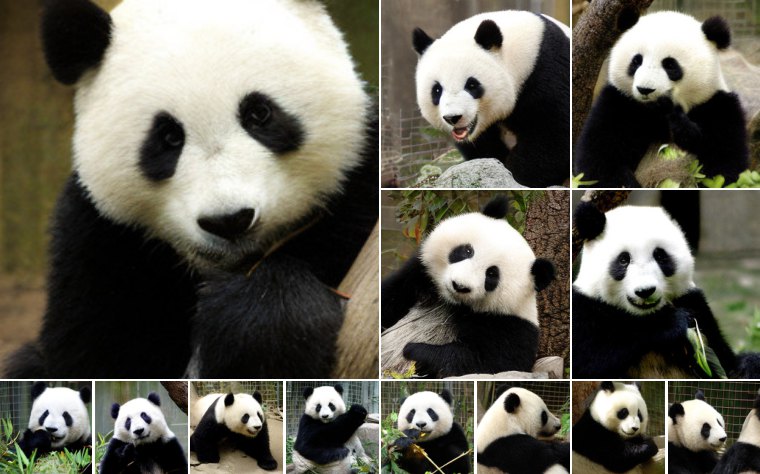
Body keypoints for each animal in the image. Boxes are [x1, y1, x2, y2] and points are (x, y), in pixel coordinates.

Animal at [4, 0, 377, 378]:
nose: (229, 221)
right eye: (168, 137)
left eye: (259, 114)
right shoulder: (99, 247)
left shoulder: (359, 189)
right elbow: (91, 358)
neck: (237, 264)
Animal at [381, 195, 555, 378]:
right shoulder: (417, 276)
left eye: (491, 274)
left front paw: (413, 350)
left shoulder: (512, 327)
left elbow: (483, 362)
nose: (459, 285)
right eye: (467, 251)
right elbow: (390, 299)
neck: (452, 304)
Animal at [413, 10, 570, 187]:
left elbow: (552, 135)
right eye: (437, 90)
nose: (453, 117)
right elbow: (483, 147)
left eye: (471, 85)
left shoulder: (547, 70)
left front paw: (516, 176)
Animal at [572, 202, 760, 379]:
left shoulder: (696, 306)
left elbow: (725, 359)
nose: (645, 291)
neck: (643, 316)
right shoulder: (585, 309)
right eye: (623, 260)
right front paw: (672, 322)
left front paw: (748, 367)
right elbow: (590, 359)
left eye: (660, 255)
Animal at [574, 11, 748, 187]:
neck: (654, 112)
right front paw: (623, 180)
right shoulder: (618, 101)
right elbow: (596, 155)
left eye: (670, 65)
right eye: (636, 61)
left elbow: (725, 162)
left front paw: (683, 126)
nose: (645, 89)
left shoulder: (717, 105)